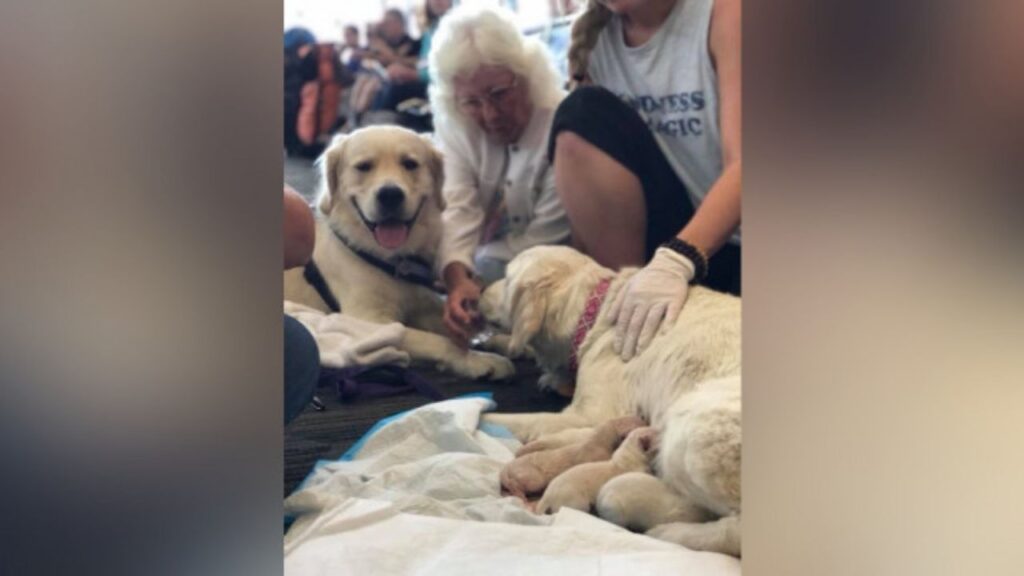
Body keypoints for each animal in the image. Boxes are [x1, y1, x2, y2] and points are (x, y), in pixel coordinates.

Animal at [284, 123, 516, 379]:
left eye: (410, 163)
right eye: (364, 166)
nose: (390, 194)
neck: (394, 261)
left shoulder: (425, 303)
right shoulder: (369, 323)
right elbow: (438, 341)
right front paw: (474, 359)